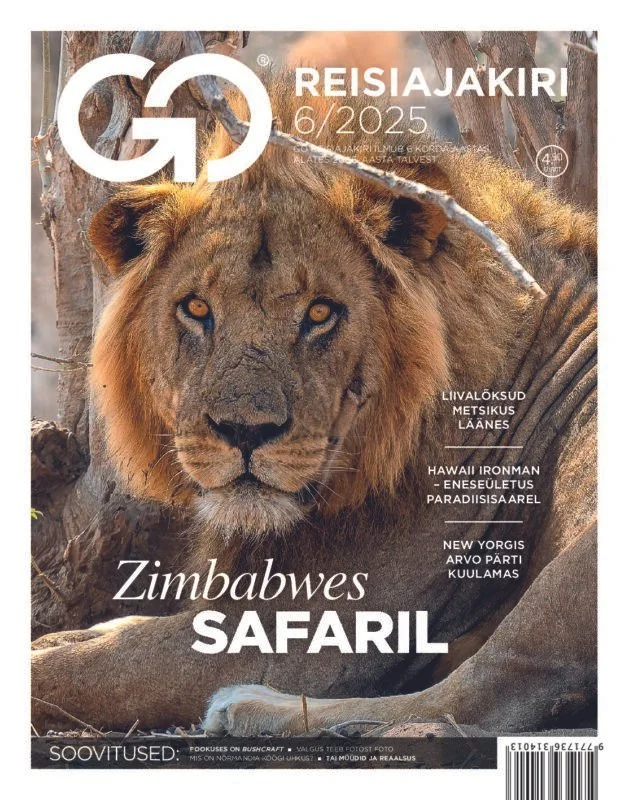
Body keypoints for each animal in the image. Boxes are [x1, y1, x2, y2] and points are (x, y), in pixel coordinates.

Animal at [31, 78, 597, 736]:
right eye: (196, 309)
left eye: (321, 312)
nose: (244, 431)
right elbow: (109, 639)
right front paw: (75, 634)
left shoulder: (306, 635)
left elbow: (89, 671)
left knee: (486, 692)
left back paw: (249, 708)